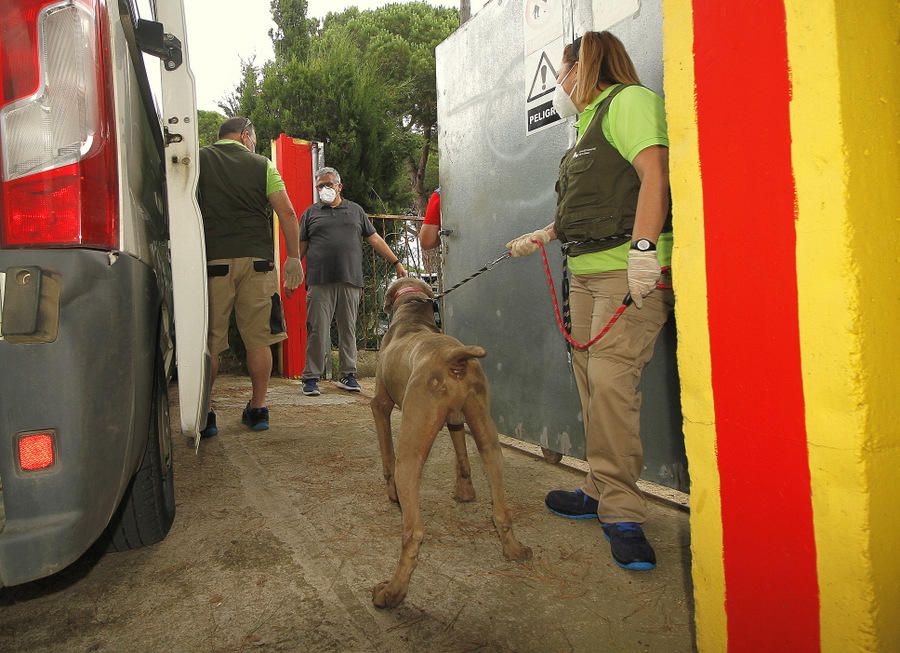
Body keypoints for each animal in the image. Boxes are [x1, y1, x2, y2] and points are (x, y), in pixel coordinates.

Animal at [370, 276, 532, 608]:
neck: (413, 314)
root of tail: (453, 358)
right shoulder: (456, 418)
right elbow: (461, 452)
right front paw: (465, 491)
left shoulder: (380, 405)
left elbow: (386, 457)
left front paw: (391, 493)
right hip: (488, 436)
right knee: (501, 507)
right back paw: (513, 549)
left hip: (411, 450)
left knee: (413, 532)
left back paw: (392, 593)